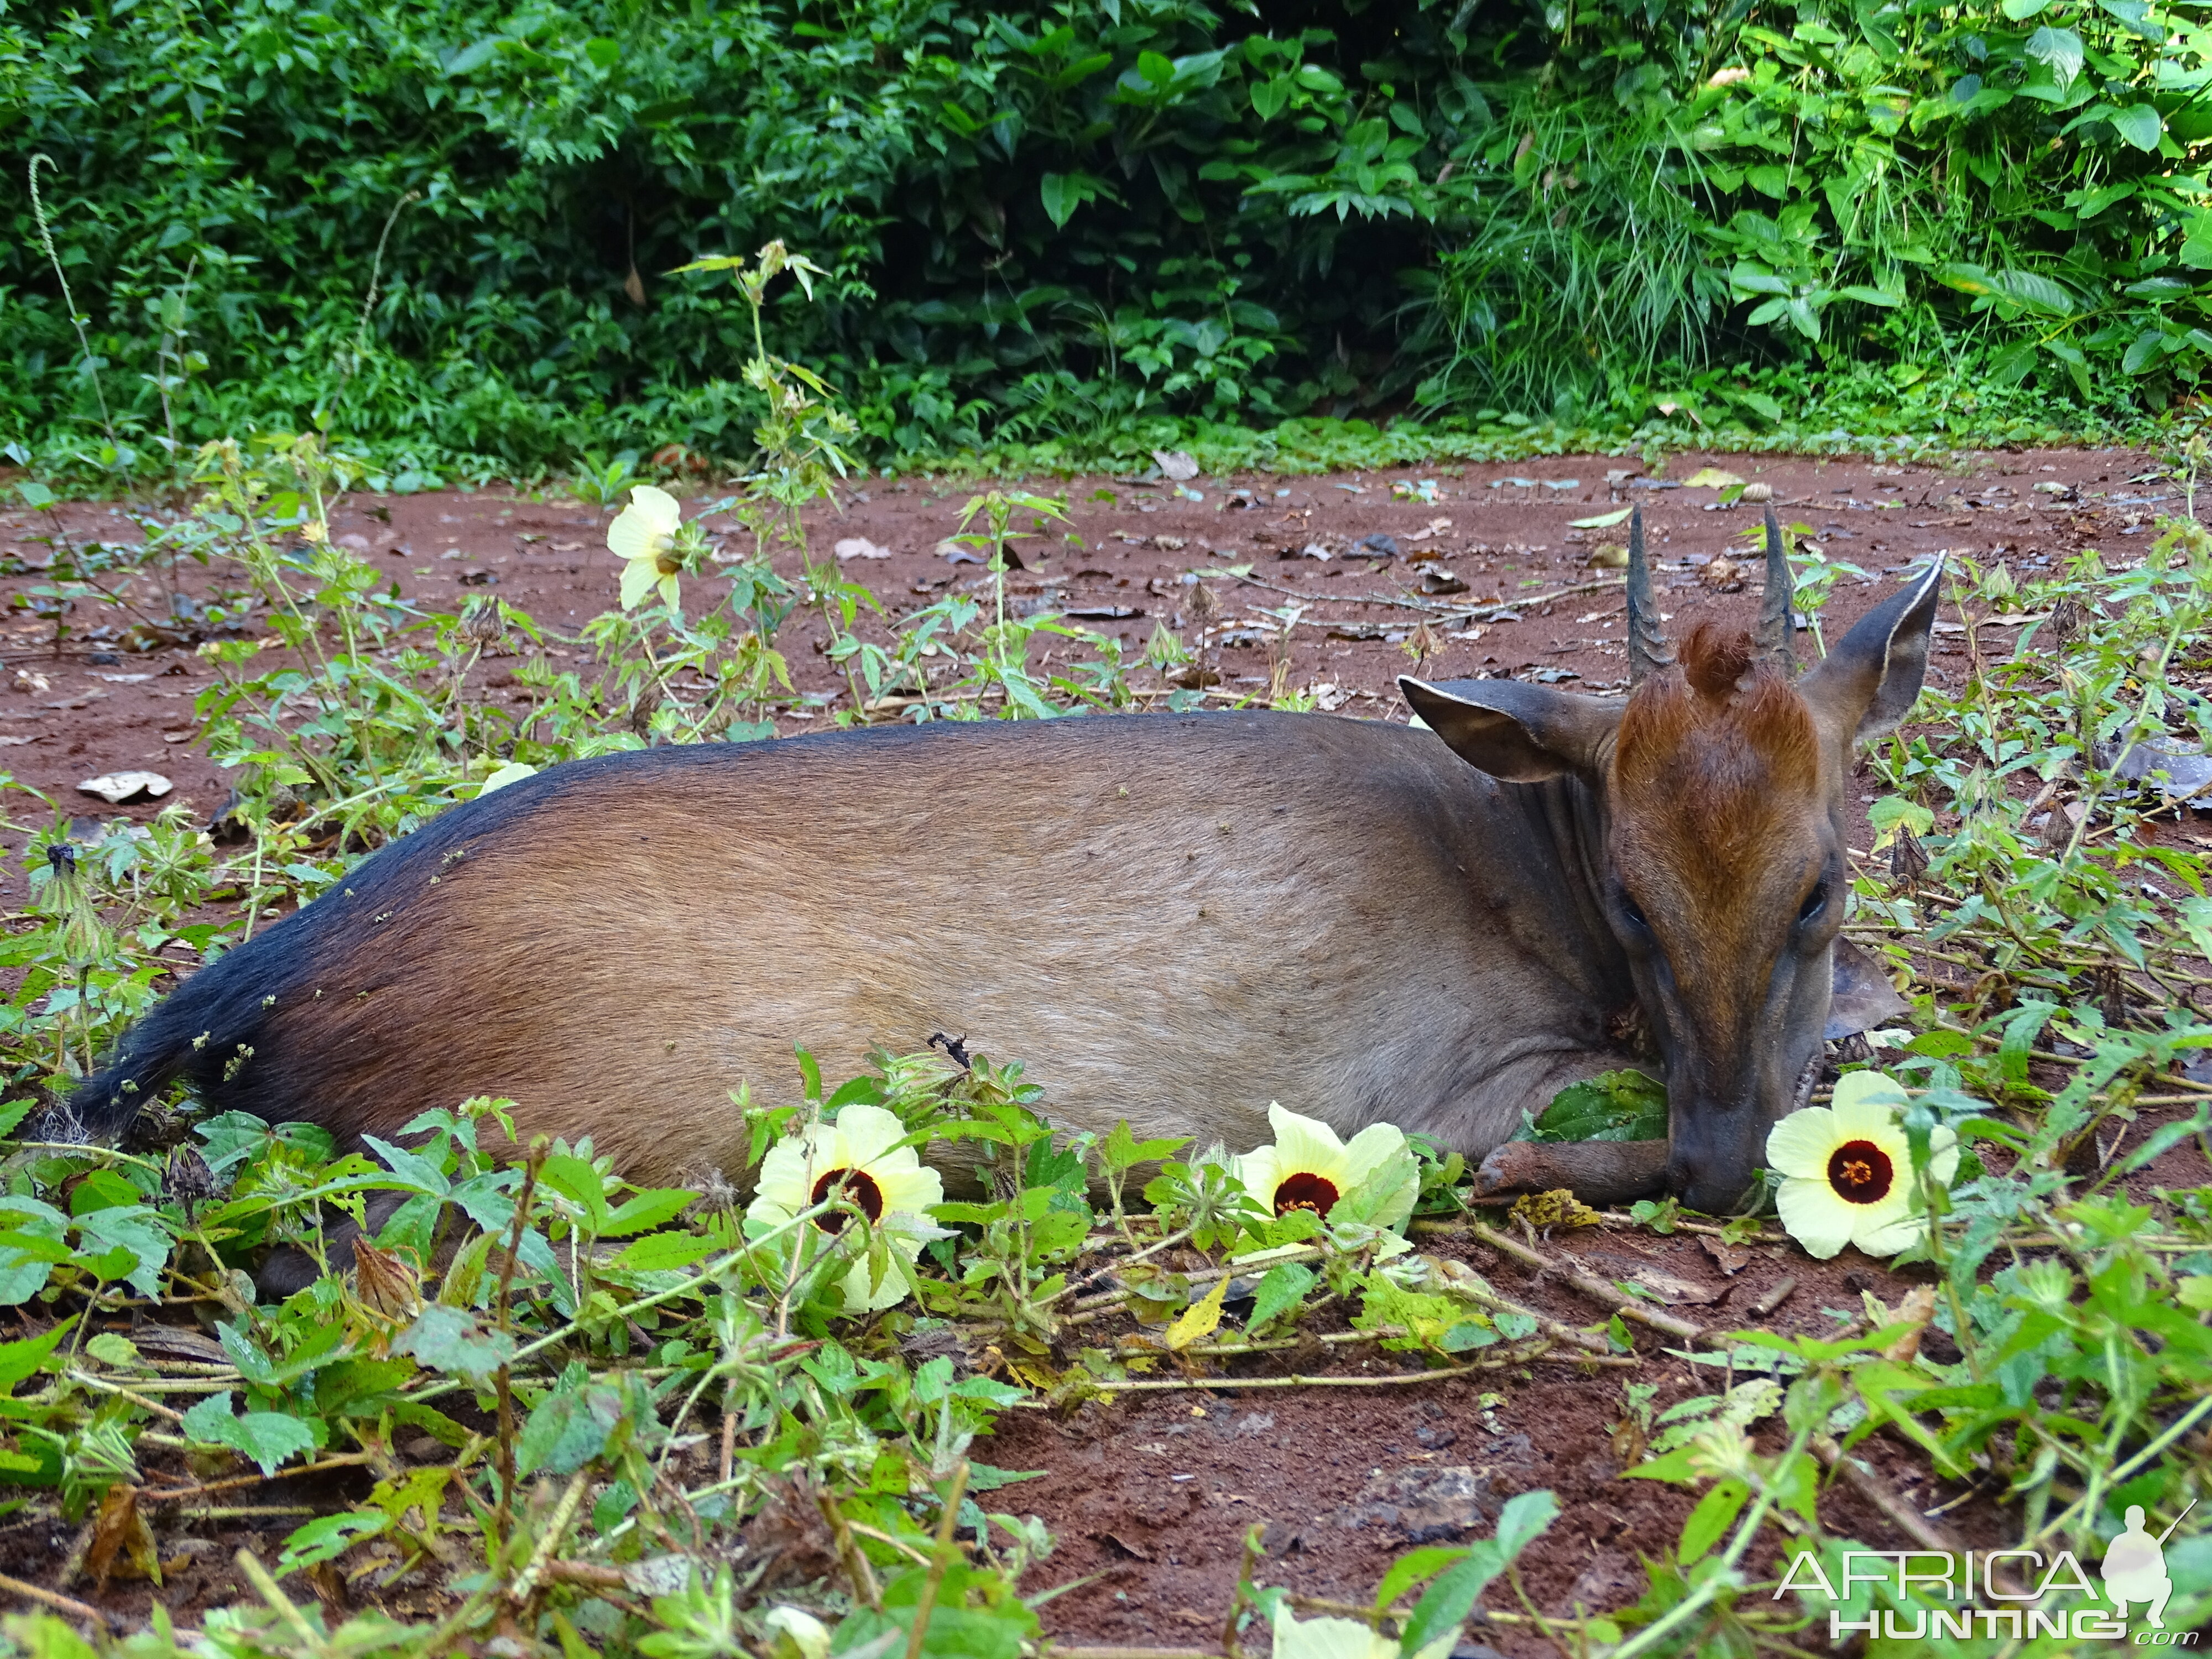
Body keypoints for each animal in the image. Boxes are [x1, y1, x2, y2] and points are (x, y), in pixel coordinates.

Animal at [69, 513, 1938, 1230]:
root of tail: (211, 1019)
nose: (1728, 1161)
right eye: (1629, 894)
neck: (1520, 862)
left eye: (1820, 882)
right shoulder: (1436, 1080)